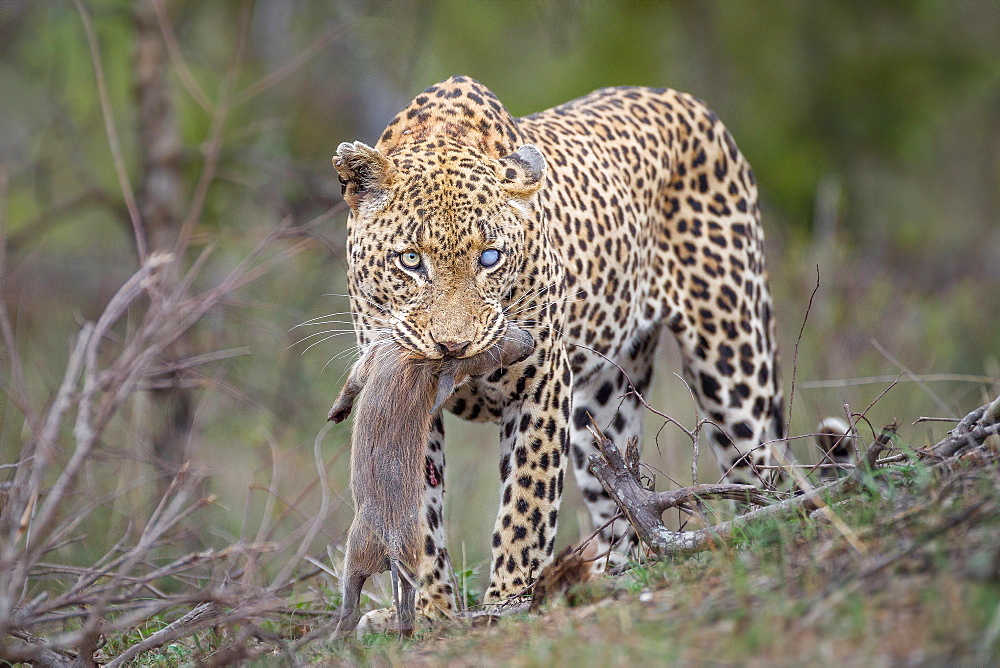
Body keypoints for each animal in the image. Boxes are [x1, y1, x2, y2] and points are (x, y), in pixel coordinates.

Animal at [332, 75, 784, 628]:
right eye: (411, 260)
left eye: (490, 257)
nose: (453, 345)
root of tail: (685, 99)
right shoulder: (413, 402)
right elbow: (420, 506)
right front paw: (435, 611)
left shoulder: (544, 383)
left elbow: (526, 503)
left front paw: (508, 599)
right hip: (602, 414)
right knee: (623, 507)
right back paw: (611, 572)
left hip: (732, 361)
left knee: (760, 471)